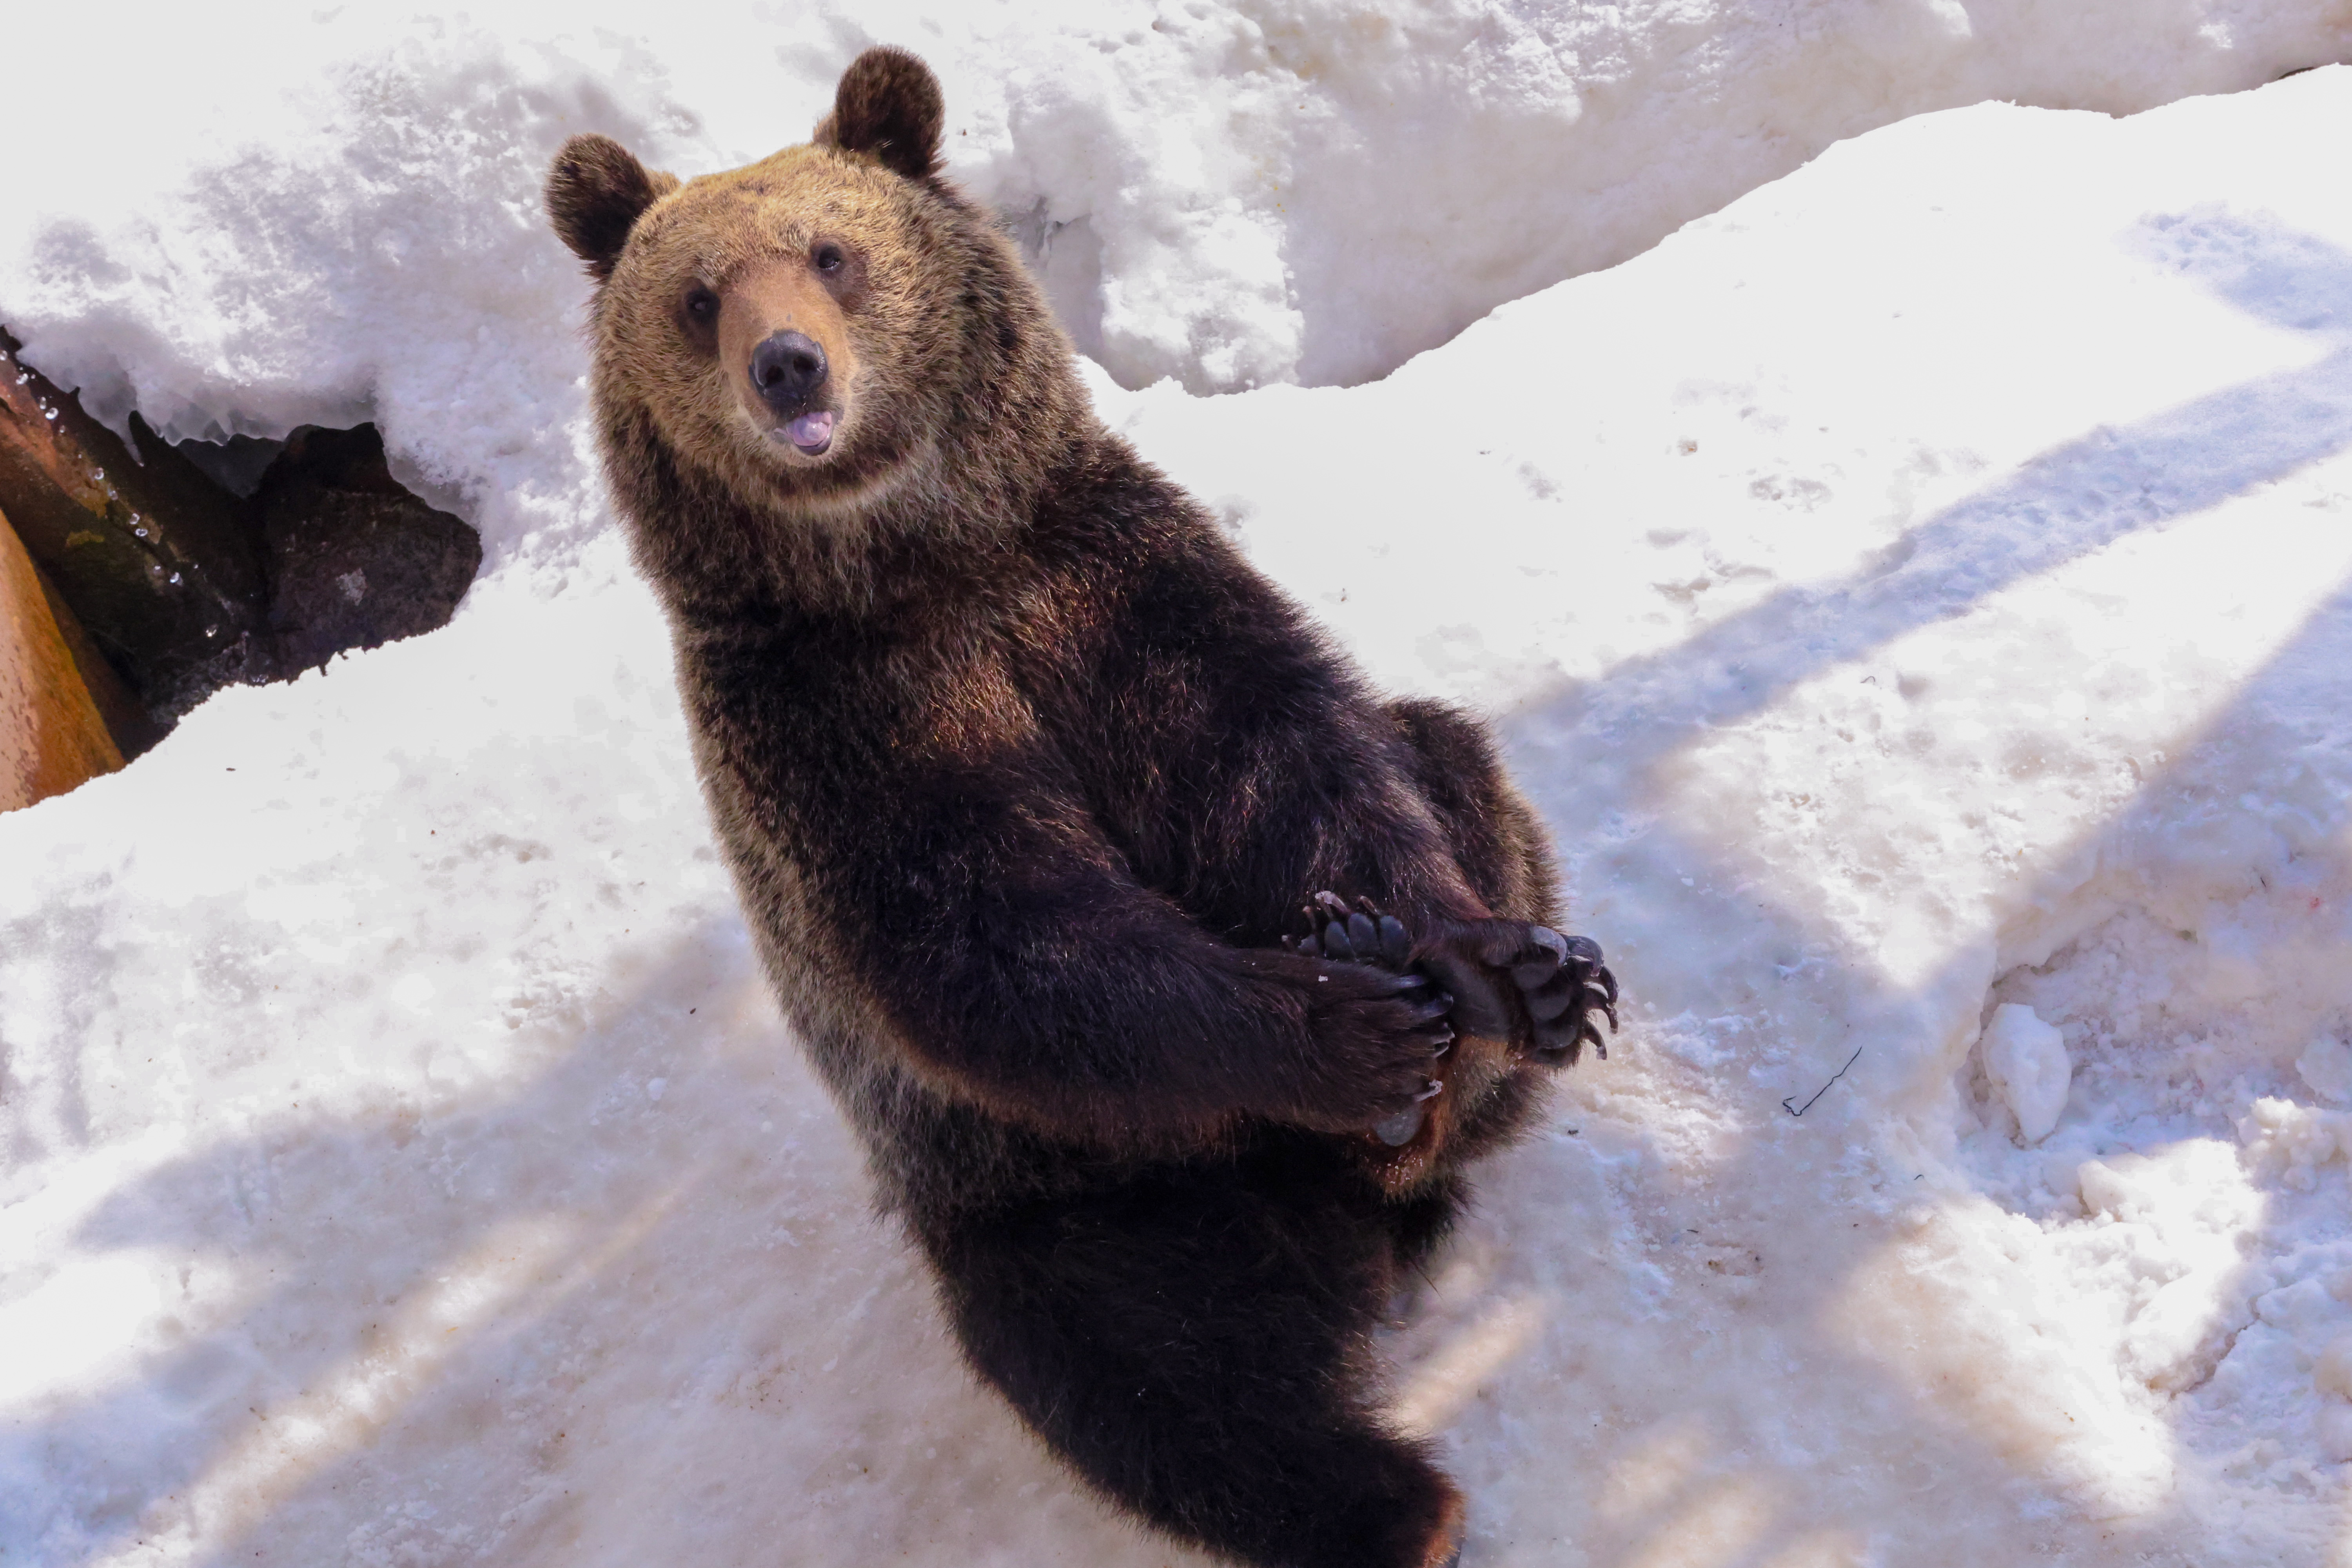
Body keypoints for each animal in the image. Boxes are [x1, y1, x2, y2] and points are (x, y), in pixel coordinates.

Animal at [550, 49, 1618, 1568]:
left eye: (831, 251)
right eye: (700, 294)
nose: (786, 365)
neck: (915, 563)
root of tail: (1348, 1232)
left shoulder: (1111, 591)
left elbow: (1290, 760)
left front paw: (1484, 971)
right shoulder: (844, 724)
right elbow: (998, 928)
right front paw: (1344, 1026)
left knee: (1445, 748)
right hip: (1069, 1188)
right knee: (1159, 1366)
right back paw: (1397, 1503)